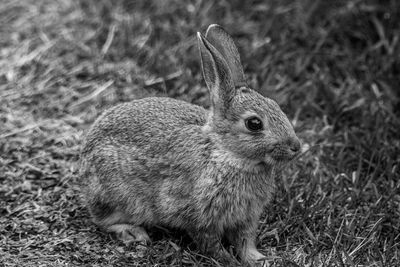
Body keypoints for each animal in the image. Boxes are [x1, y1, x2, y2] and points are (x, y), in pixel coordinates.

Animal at [80, 24, 300, 266]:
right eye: (254, 124)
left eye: (276, 105)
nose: (296, 146)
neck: (226, 155)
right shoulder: (199, 215)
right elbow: (211, 243)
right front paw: (229, 261)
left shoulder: (246, 217)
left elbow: (245, 241)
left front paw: (259, 258)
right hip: (117, 196)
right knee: (103, 220)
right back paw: (132, 232)